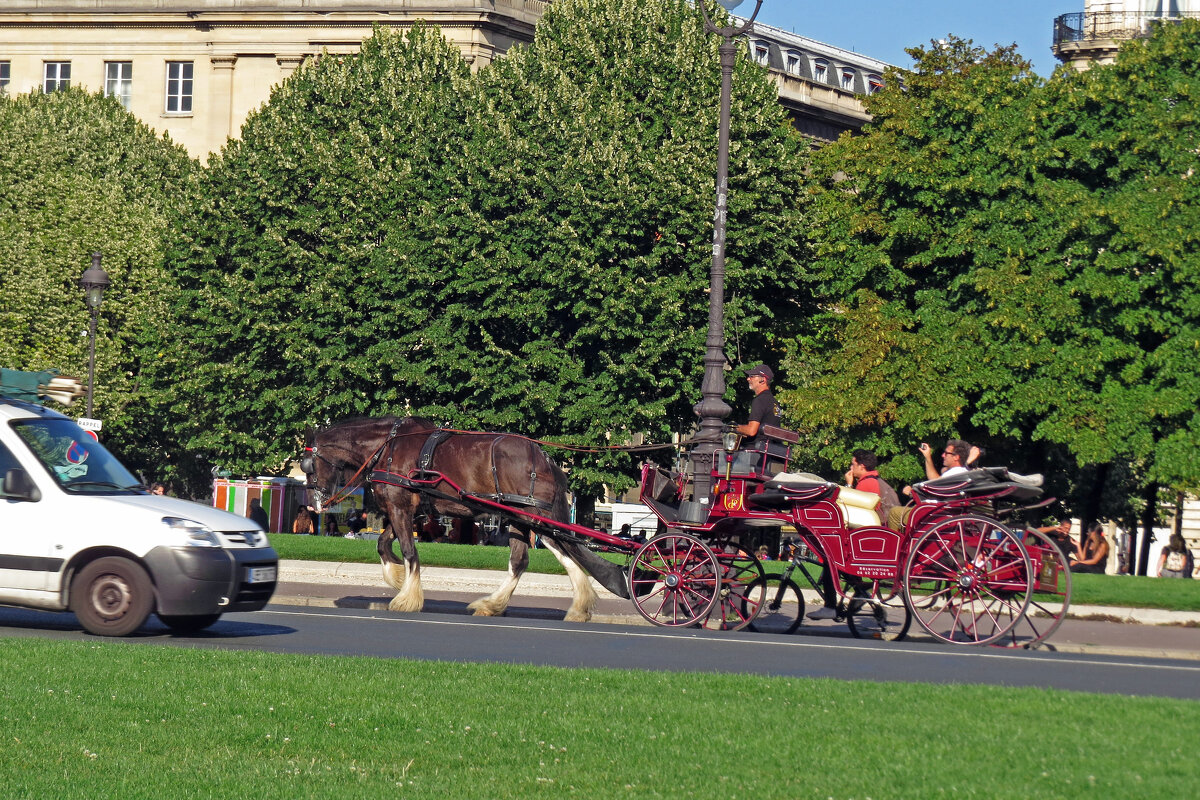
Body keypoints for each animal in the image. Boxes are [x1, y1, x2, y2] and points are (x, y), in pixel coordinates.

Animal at [302, 419, 619, 623]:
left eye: (308, 467)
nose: (314, 504)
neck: (388, 447)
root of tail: (544, 457)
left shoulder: (399, 507)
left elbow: (409, 552)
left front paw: (407, 597)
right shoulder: (403, 510)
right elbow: (383, 545)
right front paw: (400, 579)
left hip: (529, 516)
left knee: (556, 549)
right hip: (522, 518)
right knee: (531, 558)